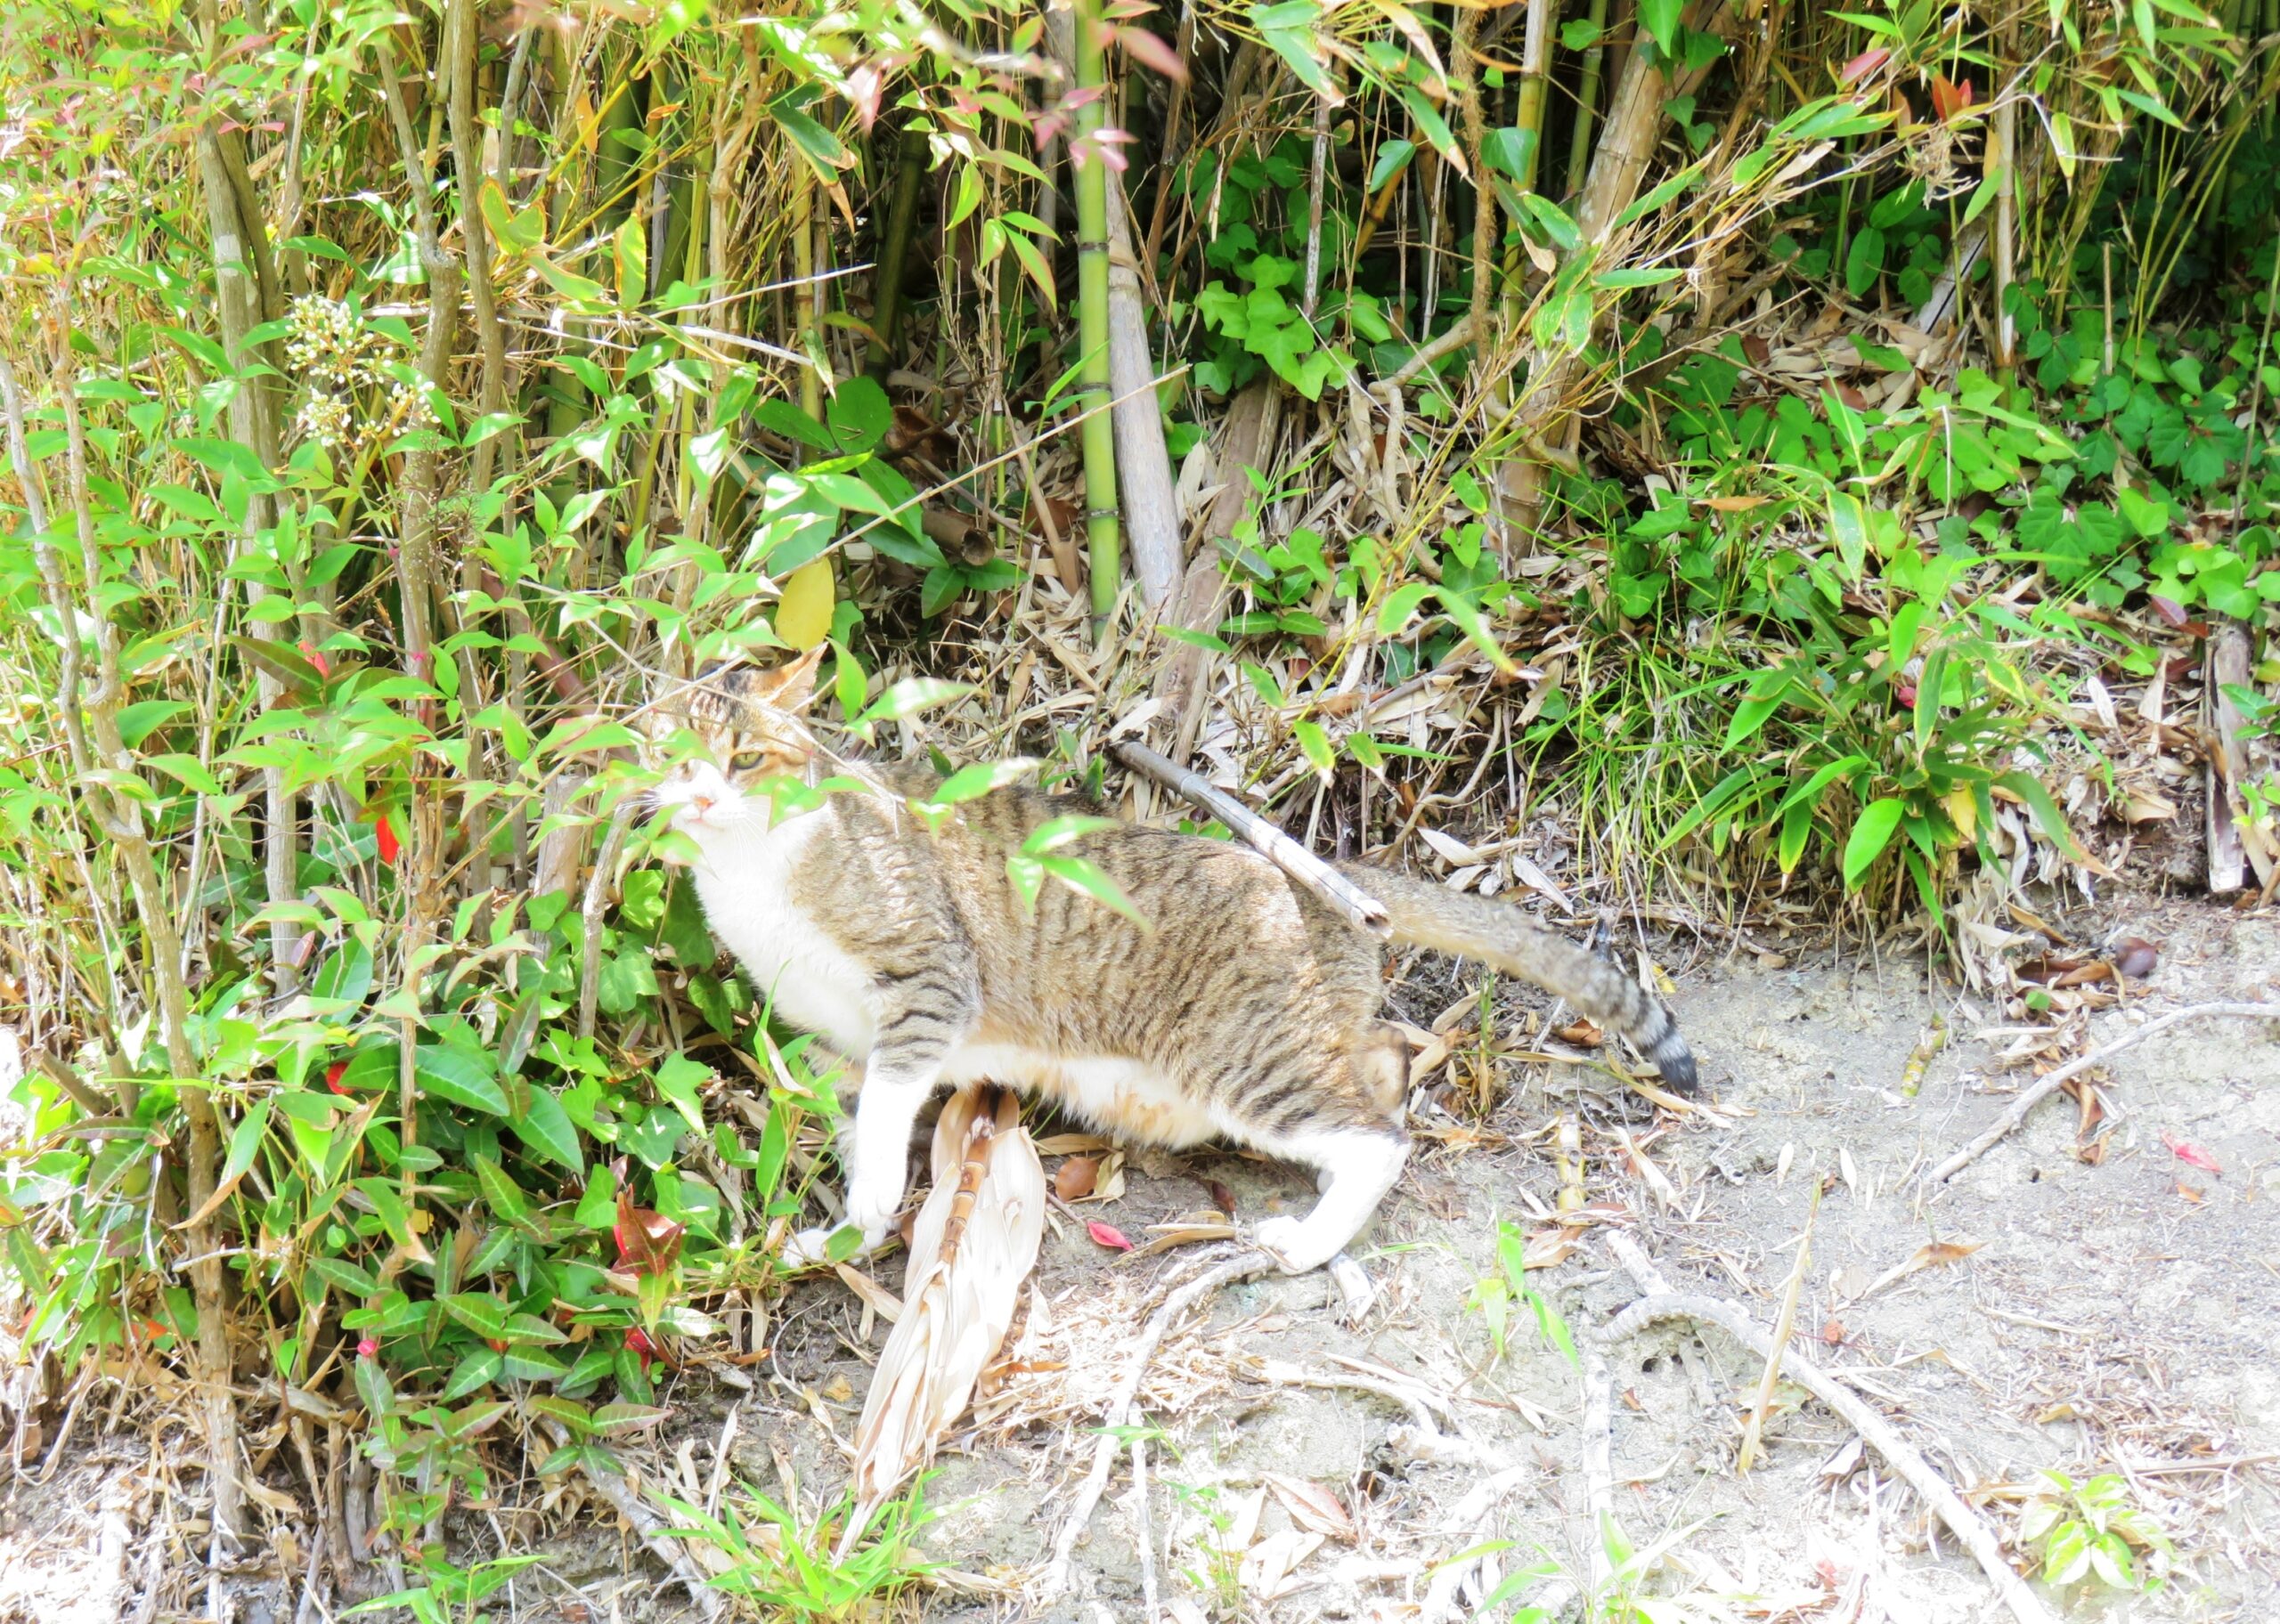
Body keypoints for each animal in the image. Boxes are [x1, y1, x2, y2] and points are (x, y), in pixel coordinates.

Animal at [642, 652, 1696, 1277]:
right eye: (670, 752)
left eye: (741, 757)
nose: (697, 797)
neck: (749, 873)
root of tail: (1325, 880)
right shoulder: (838, 1040)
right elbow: (852, 1110)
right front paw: (835, 1214)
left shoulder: (931, 979)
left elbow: (891, 1103)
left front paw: (863, 1204)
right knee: (1387, 1065)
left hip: (1245, 1064)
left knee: (1377, 1140)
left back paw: (1305, 1243)